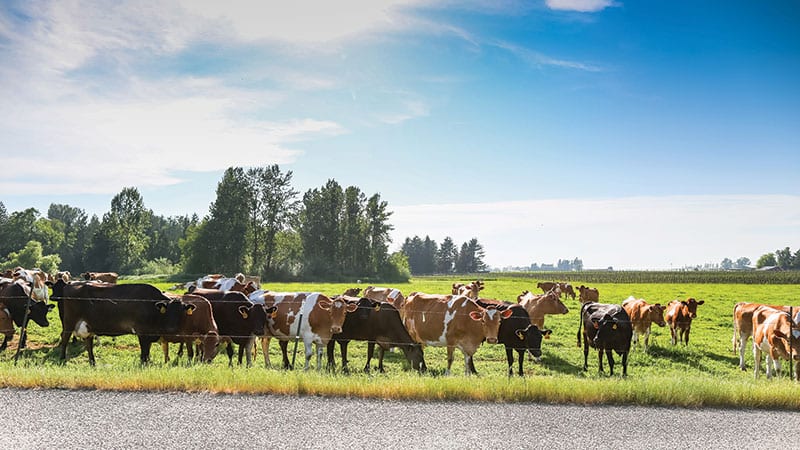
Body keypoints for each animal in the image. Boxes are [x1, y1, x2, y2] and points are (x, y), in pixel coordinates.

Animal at [52, 278, 191, 366]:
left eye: (180, 312)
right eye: (169, 311)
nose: (172, 328)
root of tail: (70, 284)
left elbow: (147, 352)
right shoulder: (142, 333)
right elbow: (144, 353)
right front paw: (144, 364)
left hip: (88, 325)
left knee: (88, 343)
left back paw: (93, 363)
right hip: (69, 322)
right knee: (65, 338)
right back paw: (62, 359)